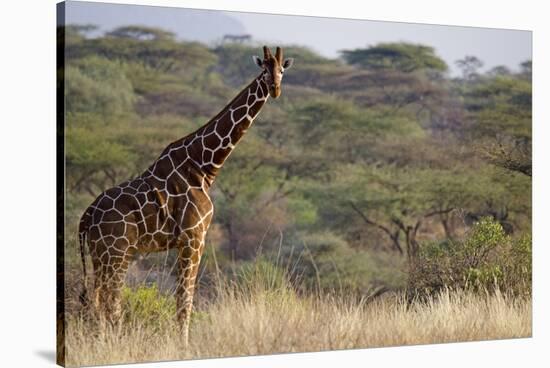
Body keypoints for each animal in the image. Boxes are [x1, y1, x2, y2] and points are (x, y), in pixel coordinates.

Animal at [78, 46, 294, 344]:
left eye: (282, 70)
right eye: (264, 70)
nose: (275, 89)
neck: (204, 166)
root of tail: (86, 216)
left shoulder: (187, 241)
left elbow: (183, 298)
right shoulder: (194, 237)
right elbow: (185, 299)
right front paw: (184, 344)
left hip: (102, 254)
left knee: (98, 297)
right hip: (116, 251)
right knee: (110, 299)